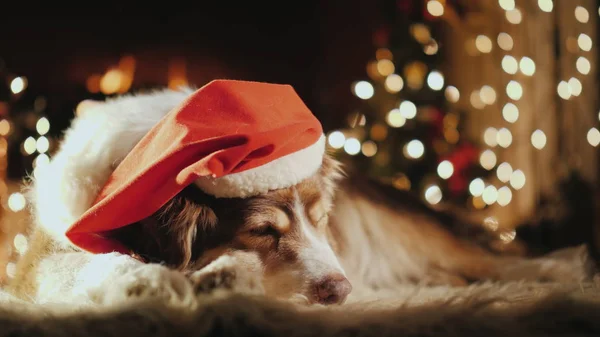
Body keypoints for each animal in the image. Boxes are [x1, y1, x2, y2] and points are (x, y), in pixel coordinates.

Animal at [5, 82, 596, 308]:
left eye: (322, 219)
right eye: (263, 232)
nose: (341, 291)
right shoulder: (51, 254)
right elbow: (84, 268)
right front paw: (153, 282)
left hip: (414, 235)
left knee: (494, 258)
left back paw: (562, 269)